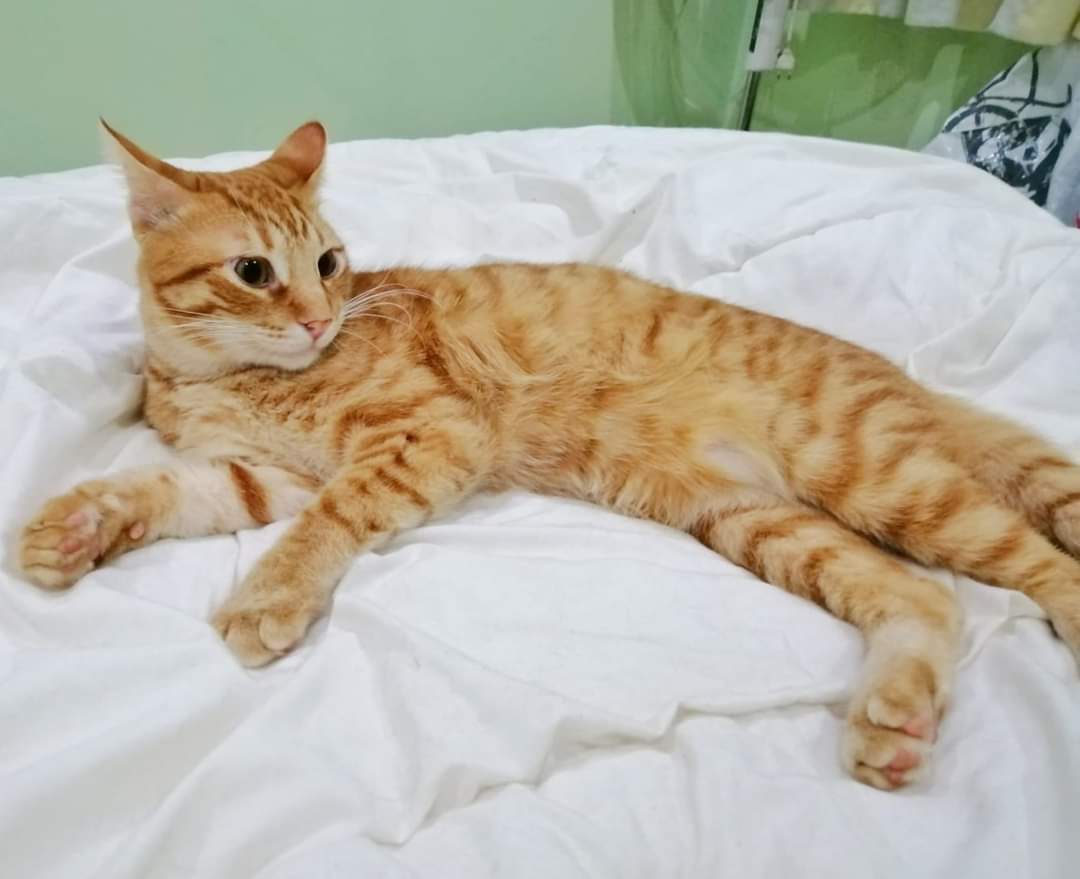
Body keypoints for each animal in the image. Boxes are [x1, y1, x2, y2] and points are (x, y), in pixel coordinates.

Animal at [16, 121, 1080, 791]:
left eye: (328, 262)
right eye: (253, 271)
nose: (320, 315)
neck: (223, 377)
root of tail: (904, 376)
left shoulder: (425, 437)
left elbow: (330, 519)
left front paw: (270, 598)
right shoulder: (261, 475)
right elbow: (164, 486)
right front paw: (75, 525)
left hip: (875, 473)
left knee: (1038, 565)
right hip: (757, 520)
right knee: (922, 596)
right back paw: (894, 721)